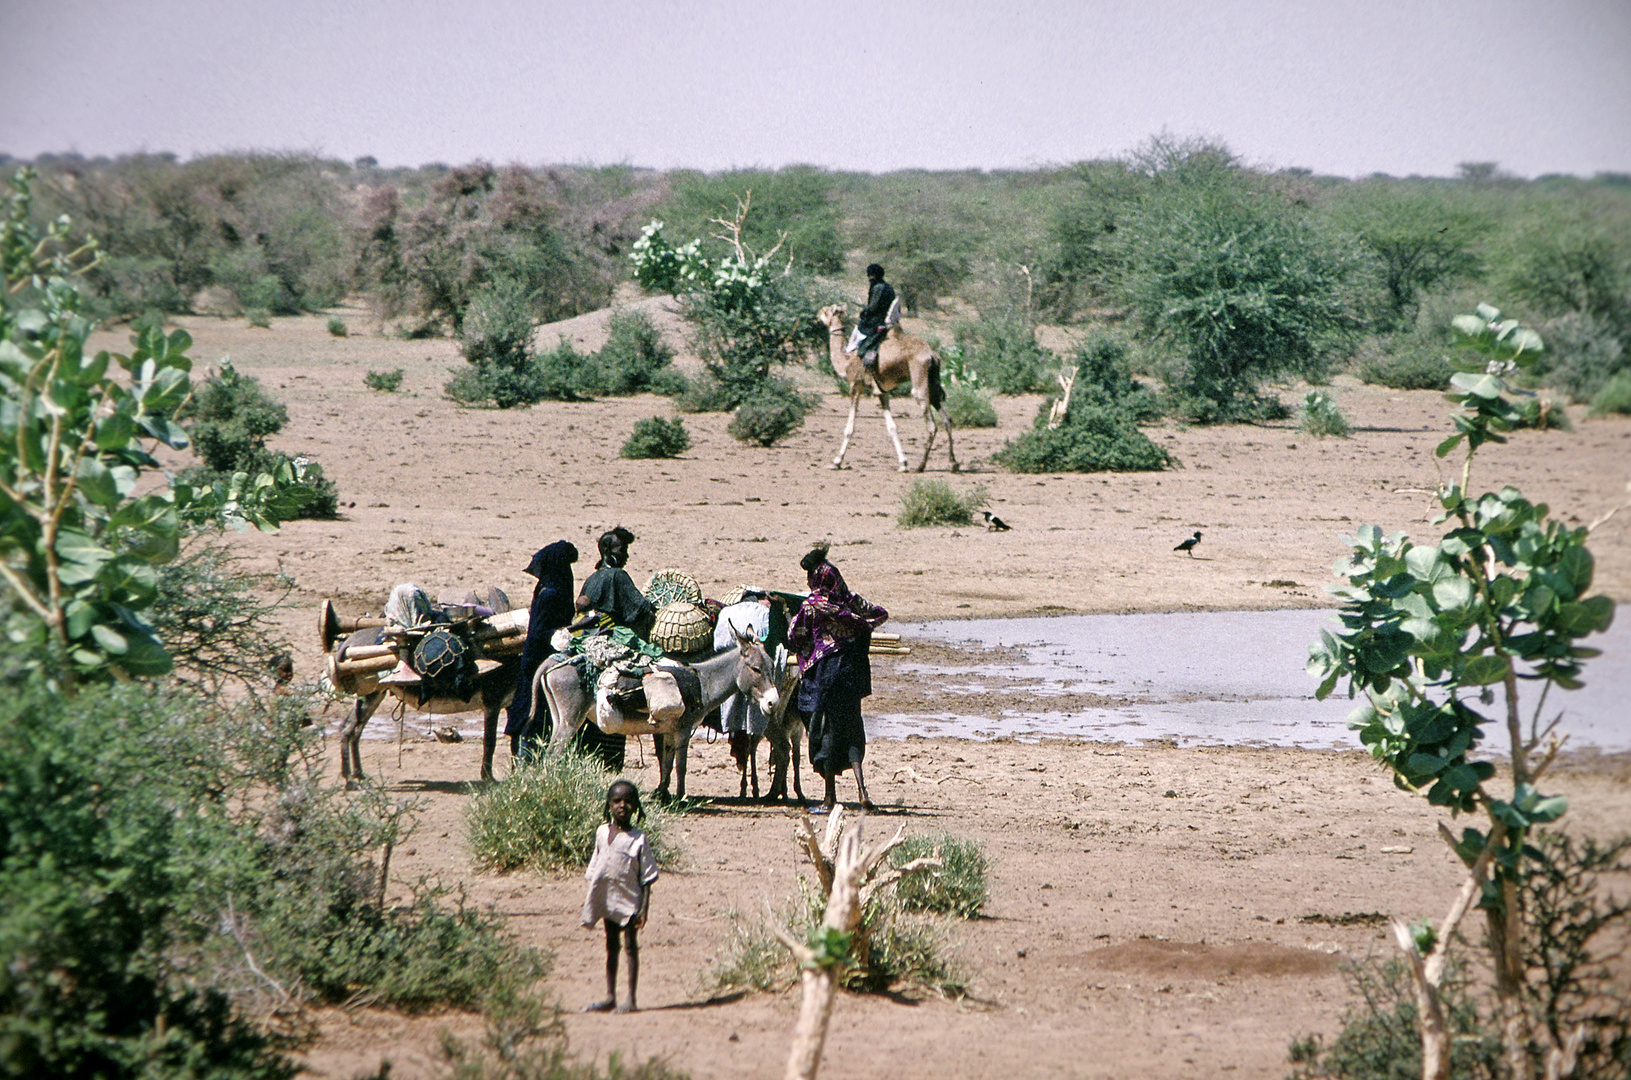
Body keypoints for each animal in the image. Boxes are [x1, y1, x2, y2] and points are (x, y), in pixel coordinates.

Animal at [815, 305, 952, 473]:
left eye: (826, 311)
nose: (817, 315)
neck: (845, 361)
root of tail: (932, 355)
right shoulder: (882, 391)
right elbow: (892, 427)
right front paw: (903, 463)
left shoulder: (855, 385)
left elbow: (849, 428)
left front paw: (836, 461)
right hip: (932, 382)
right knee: (946, 418)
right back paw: (954, 463)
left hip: (919, 377)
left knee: (931, 424)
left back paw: (921, 465)